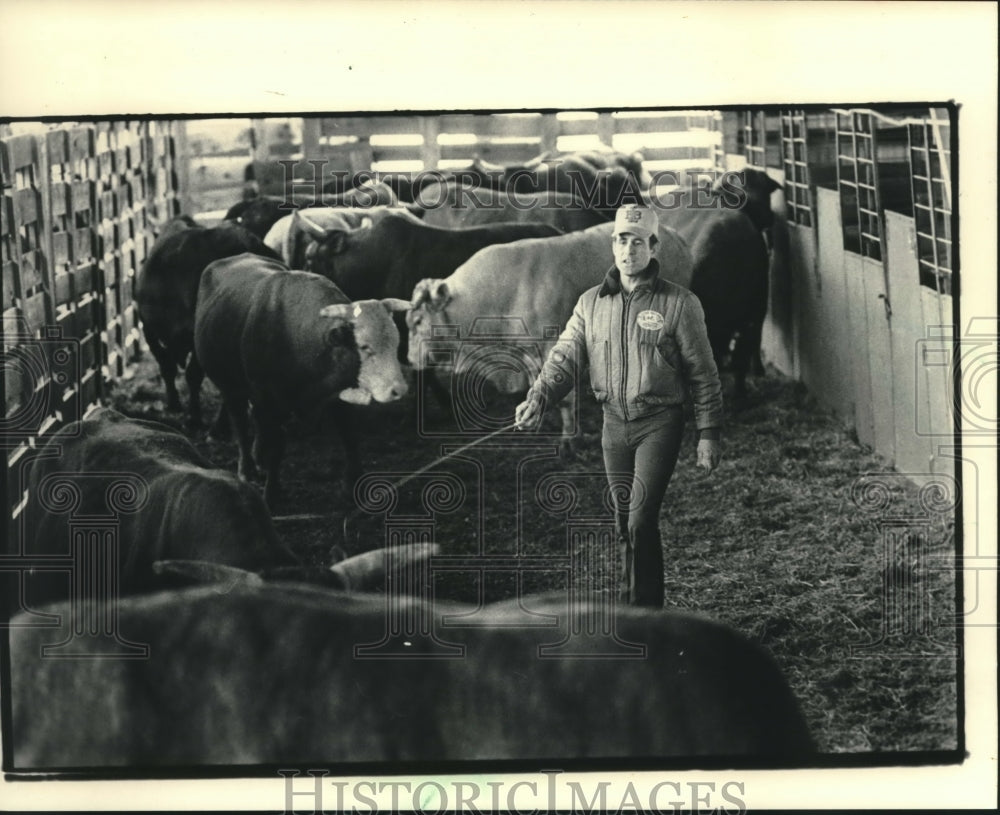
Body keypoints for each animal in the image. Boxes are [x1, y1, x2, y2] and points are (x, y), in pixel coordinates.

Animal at [191, 252, 410, 506]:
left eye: (395, 343)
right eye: (364, 347)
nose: (398, 389)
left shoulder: (339, 396)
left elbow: (349, 436)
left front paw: (352, 484)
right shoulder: (268, 401)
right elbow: (276, 446)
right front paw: (272, 494)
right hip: (231, 388)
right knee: (240, 425)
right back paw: (247, 468)